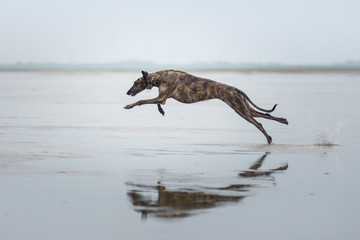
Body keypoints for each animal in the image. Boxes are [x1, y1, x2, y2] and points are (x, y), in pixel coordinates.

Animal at [125, 70, 288, 144]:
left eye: (135, 83)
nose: (127, 92)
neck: (159, 77)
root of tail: (235, 89)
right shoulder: (163, 97)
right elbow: (157, 103)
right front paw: (161, 110)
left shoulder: (162, 97)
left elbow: (141, 101)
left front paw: (129, 105)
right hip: (245, 108)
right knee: (266, 115)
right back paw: (283, 121)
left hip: (240, 109)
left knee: (259, 123)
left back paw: (269, 139)